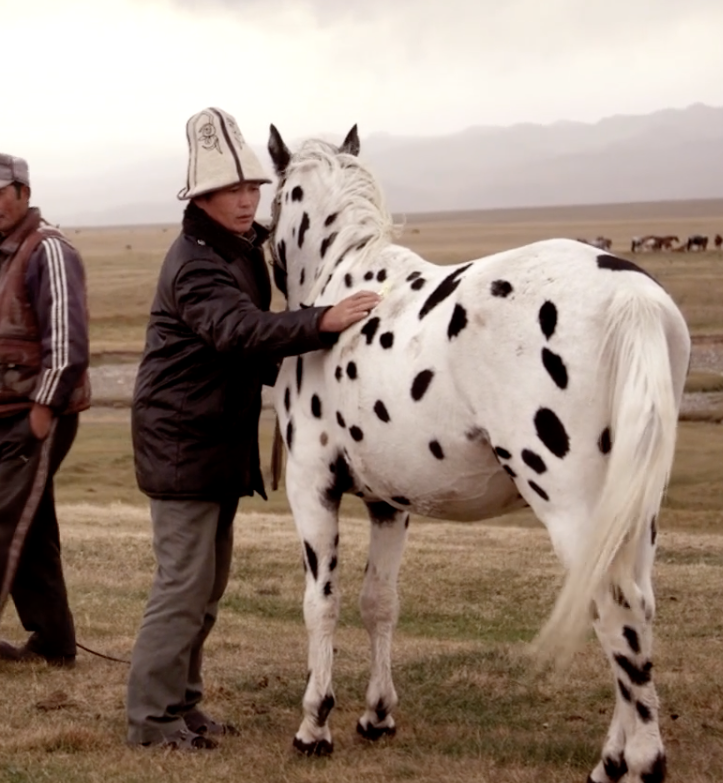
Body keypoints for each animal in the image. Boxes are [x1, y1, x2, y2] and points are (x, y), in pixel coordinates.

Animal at [266, 124, 691, 783]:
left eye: (273, 196)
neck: (345, 284)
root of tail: (631, 294)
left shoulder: (312, 488)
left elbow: (322, 605)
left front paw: (315, 724)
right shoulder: (390, 504)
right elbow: (379, 603)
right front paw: (377, 715)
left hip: (573, 506)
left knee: (613, 609)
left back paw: (638, 761)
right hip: (636, 510)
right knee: (636, 609)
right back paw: (614, 759)